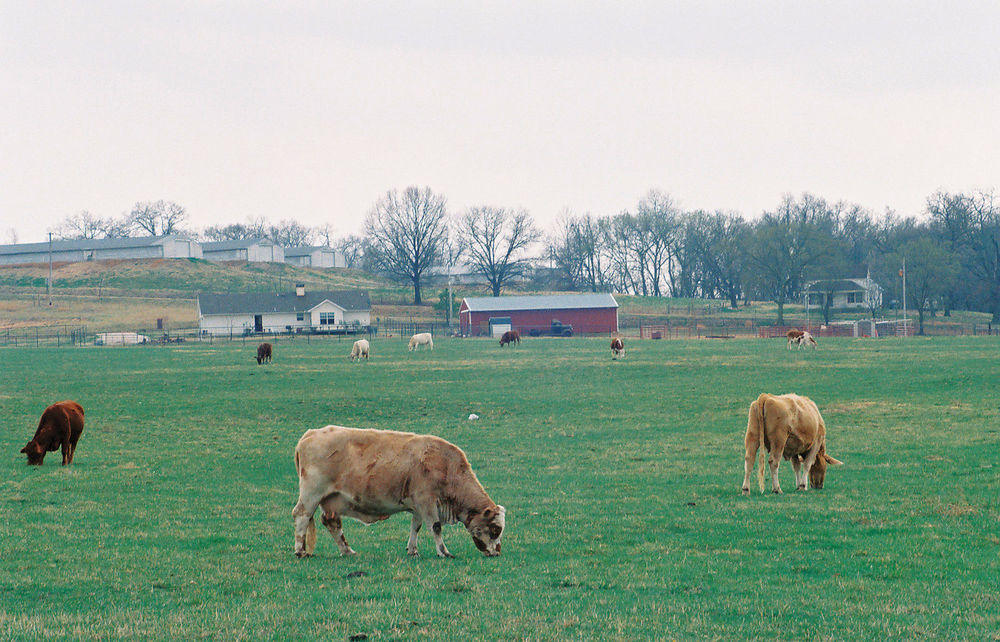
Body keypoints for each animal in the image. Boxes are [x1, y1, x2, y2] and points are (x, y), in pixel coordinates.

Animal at [292, 424, 504, 556]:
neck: (445, 465)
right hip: (312, 494)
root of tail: (310, 434)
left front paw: (413, 550)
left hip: (330, 501)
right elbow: (435, 527)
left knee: (332, 523)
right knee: (302, 515)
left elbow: (416, 526)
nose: (497, 552)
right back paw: (301, 551)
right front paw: (444, 552)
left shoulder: (419, 506)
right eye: (495, 529)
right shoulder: (427, 501)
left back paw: (347, 551)